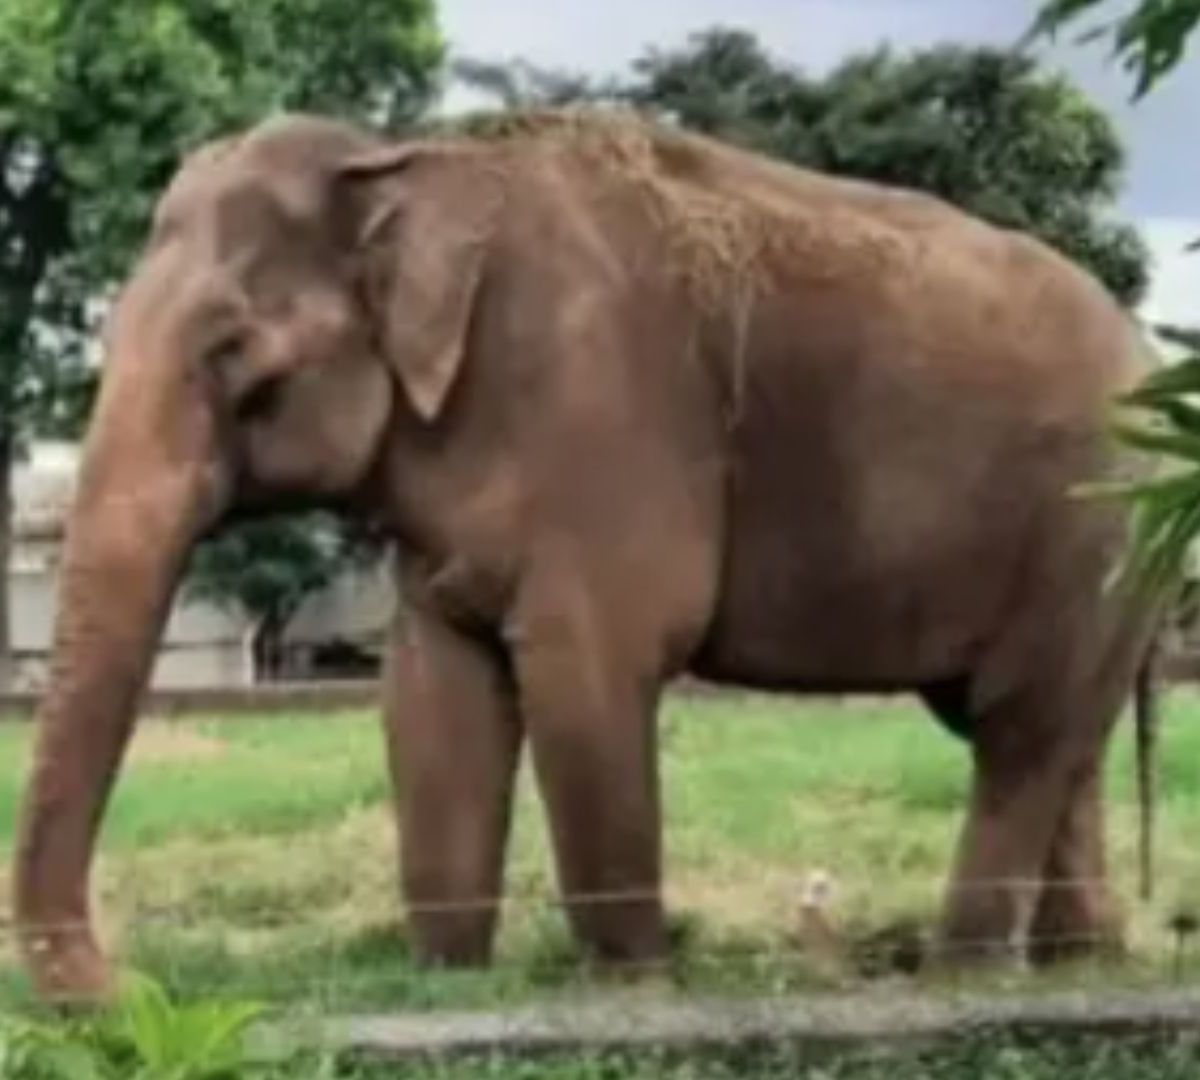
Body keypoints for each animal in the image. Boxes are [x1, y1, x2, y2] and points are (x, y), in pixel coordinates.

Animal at [13, 107, 1161, 1002]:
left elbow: (586, 677)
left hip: (1091, 523)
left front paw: (632, 986)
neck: (408, 160)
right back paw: (1080, 961)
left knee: (1020, 728)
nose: (136, 988)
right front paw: (446, 982)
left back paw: (963, 976)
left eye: (235, 355)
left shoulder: (602, 423)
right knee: (1045, 730)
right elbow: (431, 697)